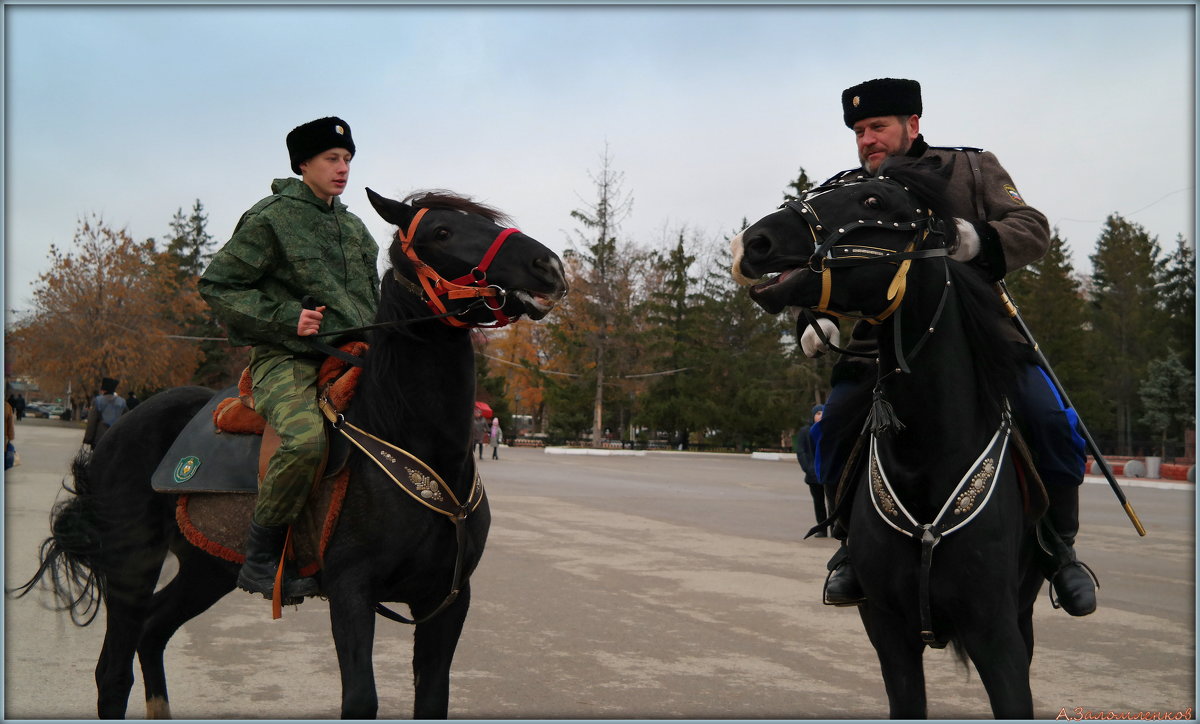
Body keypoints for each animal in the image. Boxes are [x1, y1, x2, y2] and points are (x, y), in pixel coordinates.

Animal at [12, 189, 566, 720]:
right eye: (442, 231)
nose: (548, 266)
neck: (413, 440)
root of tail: (118, 430)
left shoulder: (447, 600)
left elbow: (432, 700)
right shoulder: (351, 591)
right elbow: (359, 700)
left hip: (207, 569)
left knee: (153, 631)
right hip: (132, 565)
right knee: (113, 671)